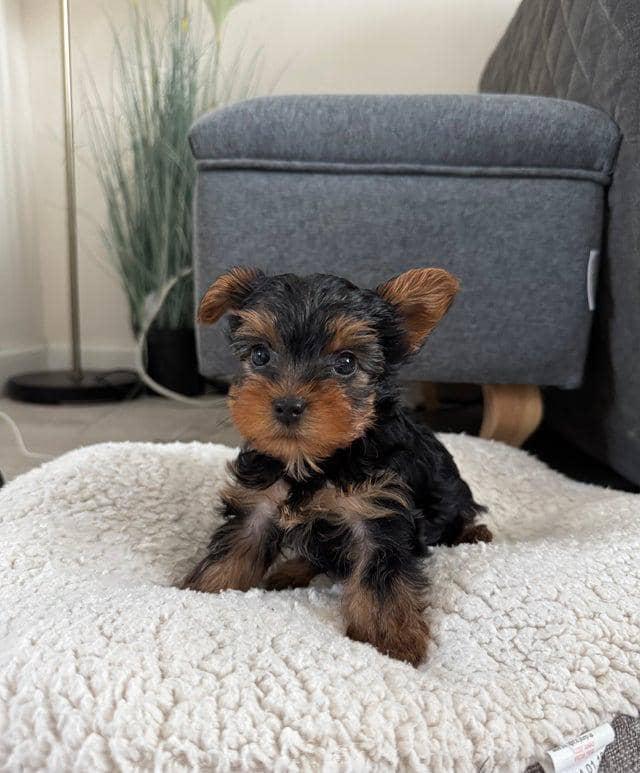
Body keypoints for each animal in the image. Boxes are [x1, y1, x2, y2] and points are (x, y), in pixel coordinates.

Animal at [182, 266, 490, 666]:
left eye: (345, 363)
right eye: (261, 354)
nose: (288, 405)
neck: (314, 461)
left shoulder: (378, 514)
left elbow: (380, 583)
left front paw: (392, 642)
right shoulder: (259, 505)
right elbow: (231, 554)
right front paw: (198, 591)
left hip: (452, 496)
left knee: (459, 515)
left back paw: (474, 533)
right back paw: (292, 570)